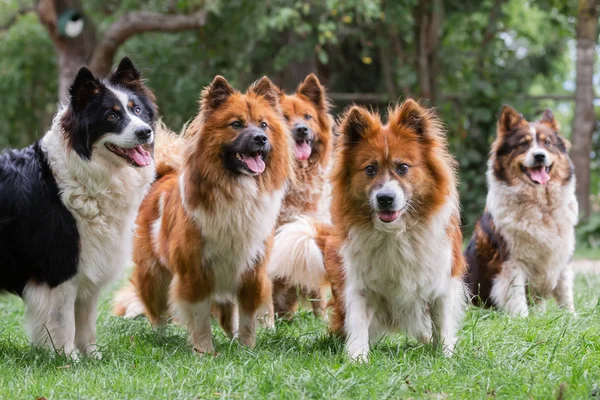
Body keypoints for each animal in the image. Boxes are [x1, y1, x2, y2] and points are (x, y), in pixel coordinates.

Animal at [0, 57, 157, 360]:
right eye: (111, 116)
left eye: (137, 110)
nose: (145, 131)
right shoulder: (61, 265)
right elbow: (63, 321)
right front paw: (67, 359)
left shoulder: (90, 266)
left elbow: (86, 321)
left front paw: (91, 358)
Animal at [113, 76, 292, 352]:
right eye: (236, 124)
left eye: (264, 124)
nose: (261, 138)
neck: (236, 189)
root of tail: (163, 175)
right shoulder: (195, 272)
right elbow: (199, 318)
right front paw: (205, 351)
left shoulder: (252, 272)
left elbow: (248, 319)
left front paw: (246, 349)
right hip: (153, 275)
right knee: (158, 314)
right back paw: (160, 338)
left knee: (228, 316)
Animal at [462, 105, 580, 316]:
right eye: (523, 144)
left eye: (547, 143)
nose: (539, 155)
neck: (541, 204)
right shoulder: (511, 261)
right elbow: (516, 295)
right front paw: (522, 318)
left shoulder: (562, 258)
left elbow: (565, 294)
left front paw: (571, 317)